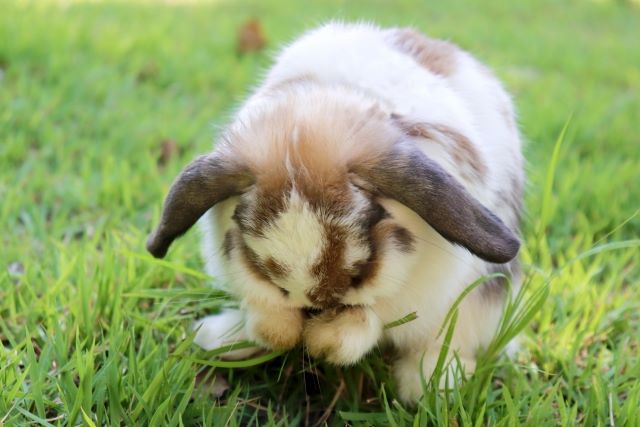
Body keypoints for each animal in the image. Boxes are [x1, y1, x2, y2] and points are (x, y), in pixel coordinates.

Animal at [148, 22, 524, 404]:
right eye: (263, 263)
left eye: (359, 270)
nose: (314, 306)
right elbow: (266, 315)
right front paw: (285, 332)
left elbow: (368, 319)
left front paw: (323, 342)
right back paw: (217, 338)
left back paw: (432, 385)